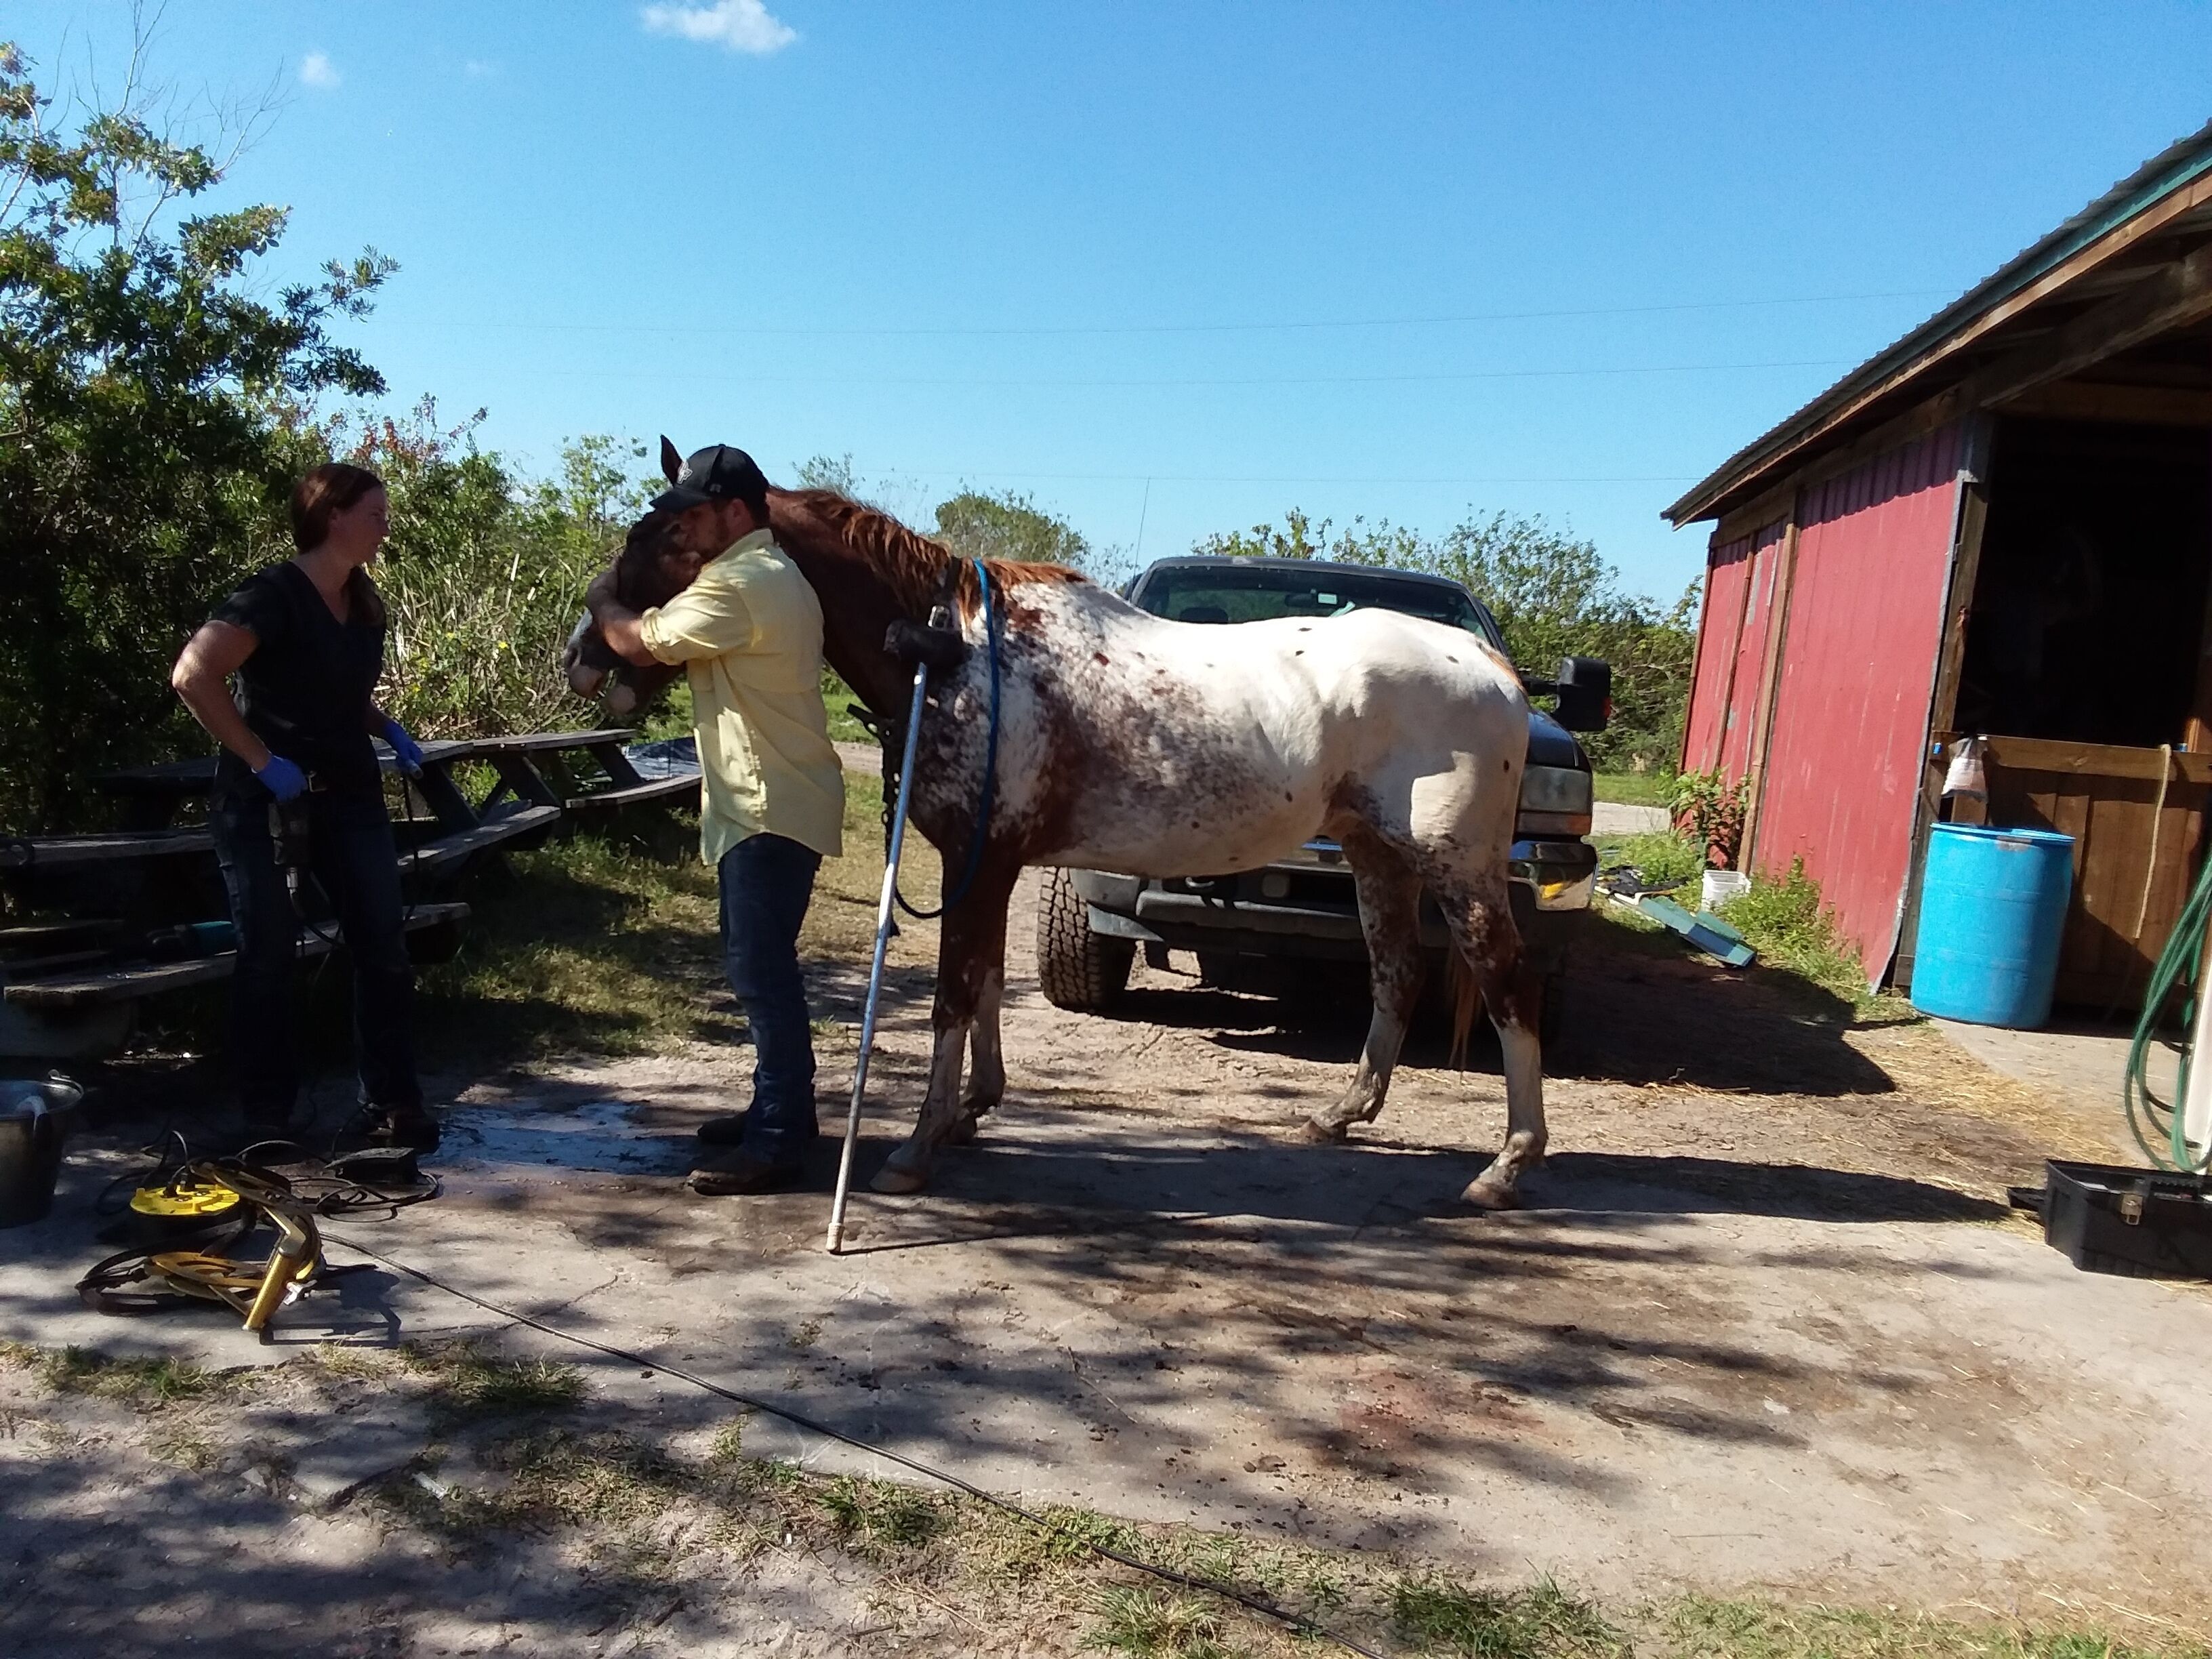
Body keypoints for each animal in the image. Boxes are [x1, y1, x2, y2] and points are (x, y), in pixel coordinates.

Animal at [565, 441, 1547, 1208]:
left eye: (660, 536)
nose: (583, 657)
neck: (958, 654)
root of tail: (1491, 665)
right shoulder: (991, 866)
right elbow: (988, 985)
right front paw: (970, 1111)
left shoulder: (980, 860)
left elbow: (956, 993)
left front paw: (916, 1149)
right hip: (1378, 853)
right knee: (1397, 974)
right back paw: (1342, 1115)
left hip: (1458, 869)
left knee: (1506, 985)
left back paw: (1507, 1167)